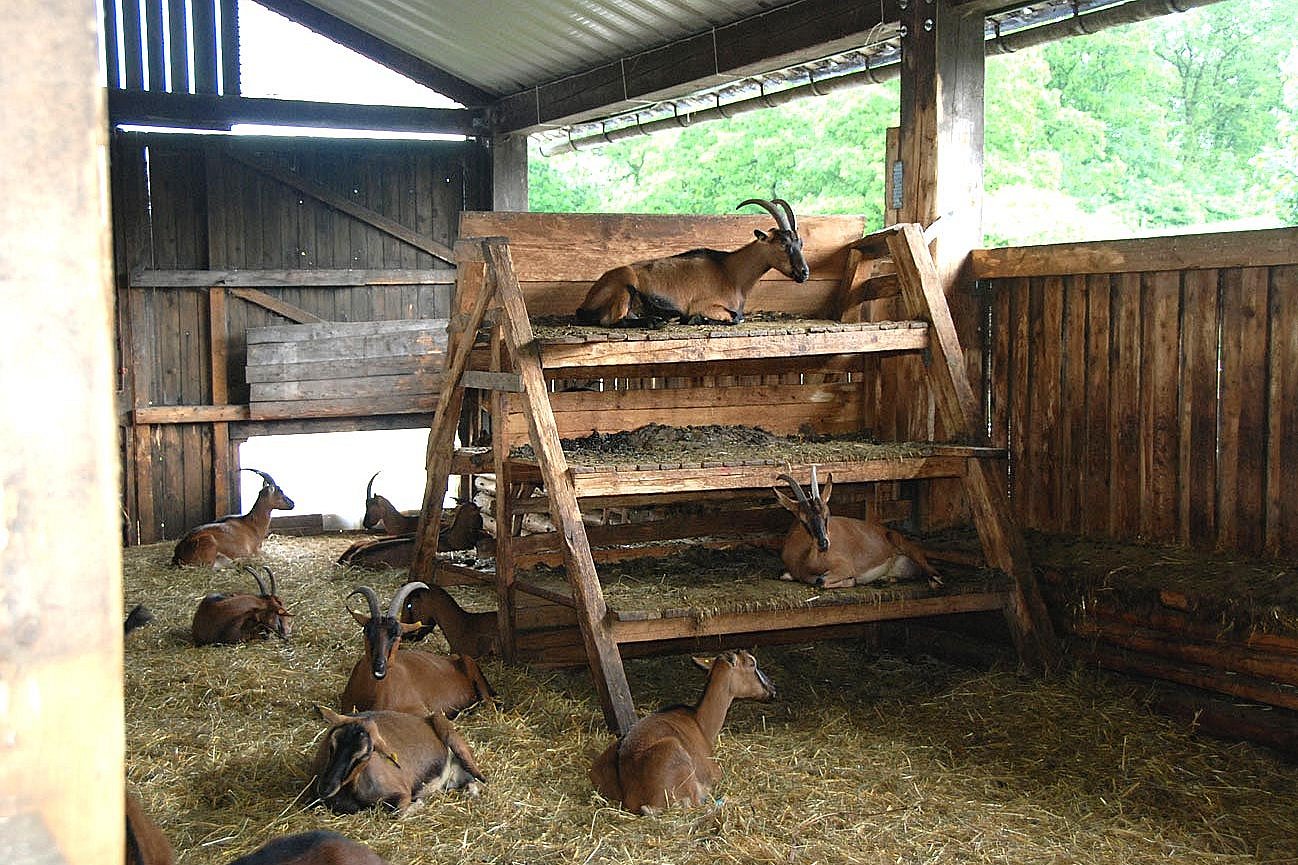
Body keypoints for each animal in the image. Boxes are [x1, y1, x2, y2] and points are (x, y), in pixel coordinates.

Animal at [311, 706, 485, 810]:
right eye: (331, 745)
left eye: (364, 755)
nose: (326, 787)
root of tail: (425, 719)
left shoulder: (403, 794)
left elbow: (398, 813)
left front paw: (419, 804)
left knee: (476, 778)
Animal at [576, 197, 804, 327]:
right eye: (783, 243)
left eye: (800, 242)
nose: (804, 272)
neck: (730, 272)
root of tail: (586, 301)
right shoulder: (703, 304)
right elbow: (735, 318)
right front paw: (694, 319)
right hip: (624, 286)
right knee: (610, 320)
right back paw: (655, 321)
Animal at [594, 649, 773, 810]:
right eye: (752, 663)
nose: (772, 689)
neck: (699, 722)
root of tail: (632, 799)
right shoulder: (714, 770)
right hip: (676, 756)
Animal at [768, 467, 944, 589]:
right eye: (803, 519)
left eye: (827, 514)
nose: (824, 544)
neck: (803, 558)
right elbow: (785, 575)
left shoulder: (844, 566)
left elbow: (821, 580)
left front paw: (851, 581)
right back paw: (885, 580)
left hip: (904, 545)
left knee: (935, 574)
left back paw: (934, 581)